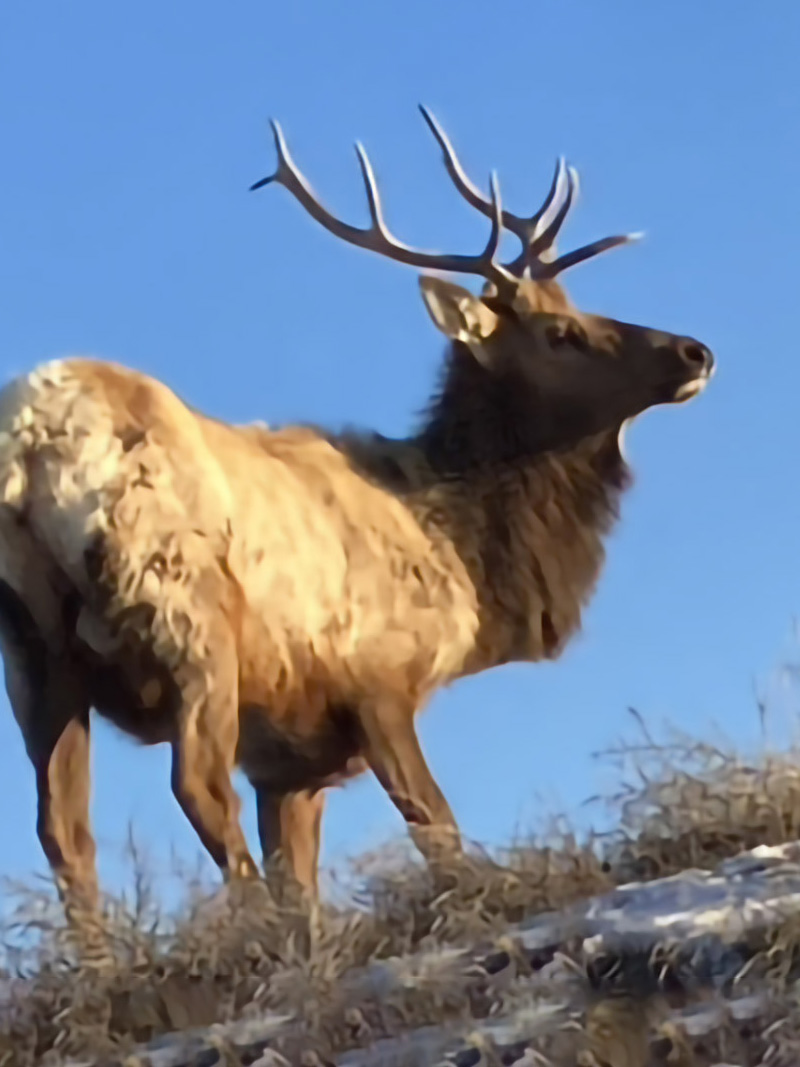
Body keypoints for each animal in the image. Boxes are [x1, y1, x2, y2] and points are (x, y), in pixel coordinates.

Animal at [0, 106, 714, 939]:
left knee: (63, 823)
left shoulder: (289, 758)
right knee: (196, 785)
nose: (694, 350)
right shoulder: (376, 677)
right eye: (559, 332)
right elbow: (436, 826)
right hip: (186, 613)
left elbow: (301, 876)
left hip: (33, 648)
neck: (463, 558)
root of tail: (32, 437)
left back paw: (106, 960)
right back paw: (250, 940)